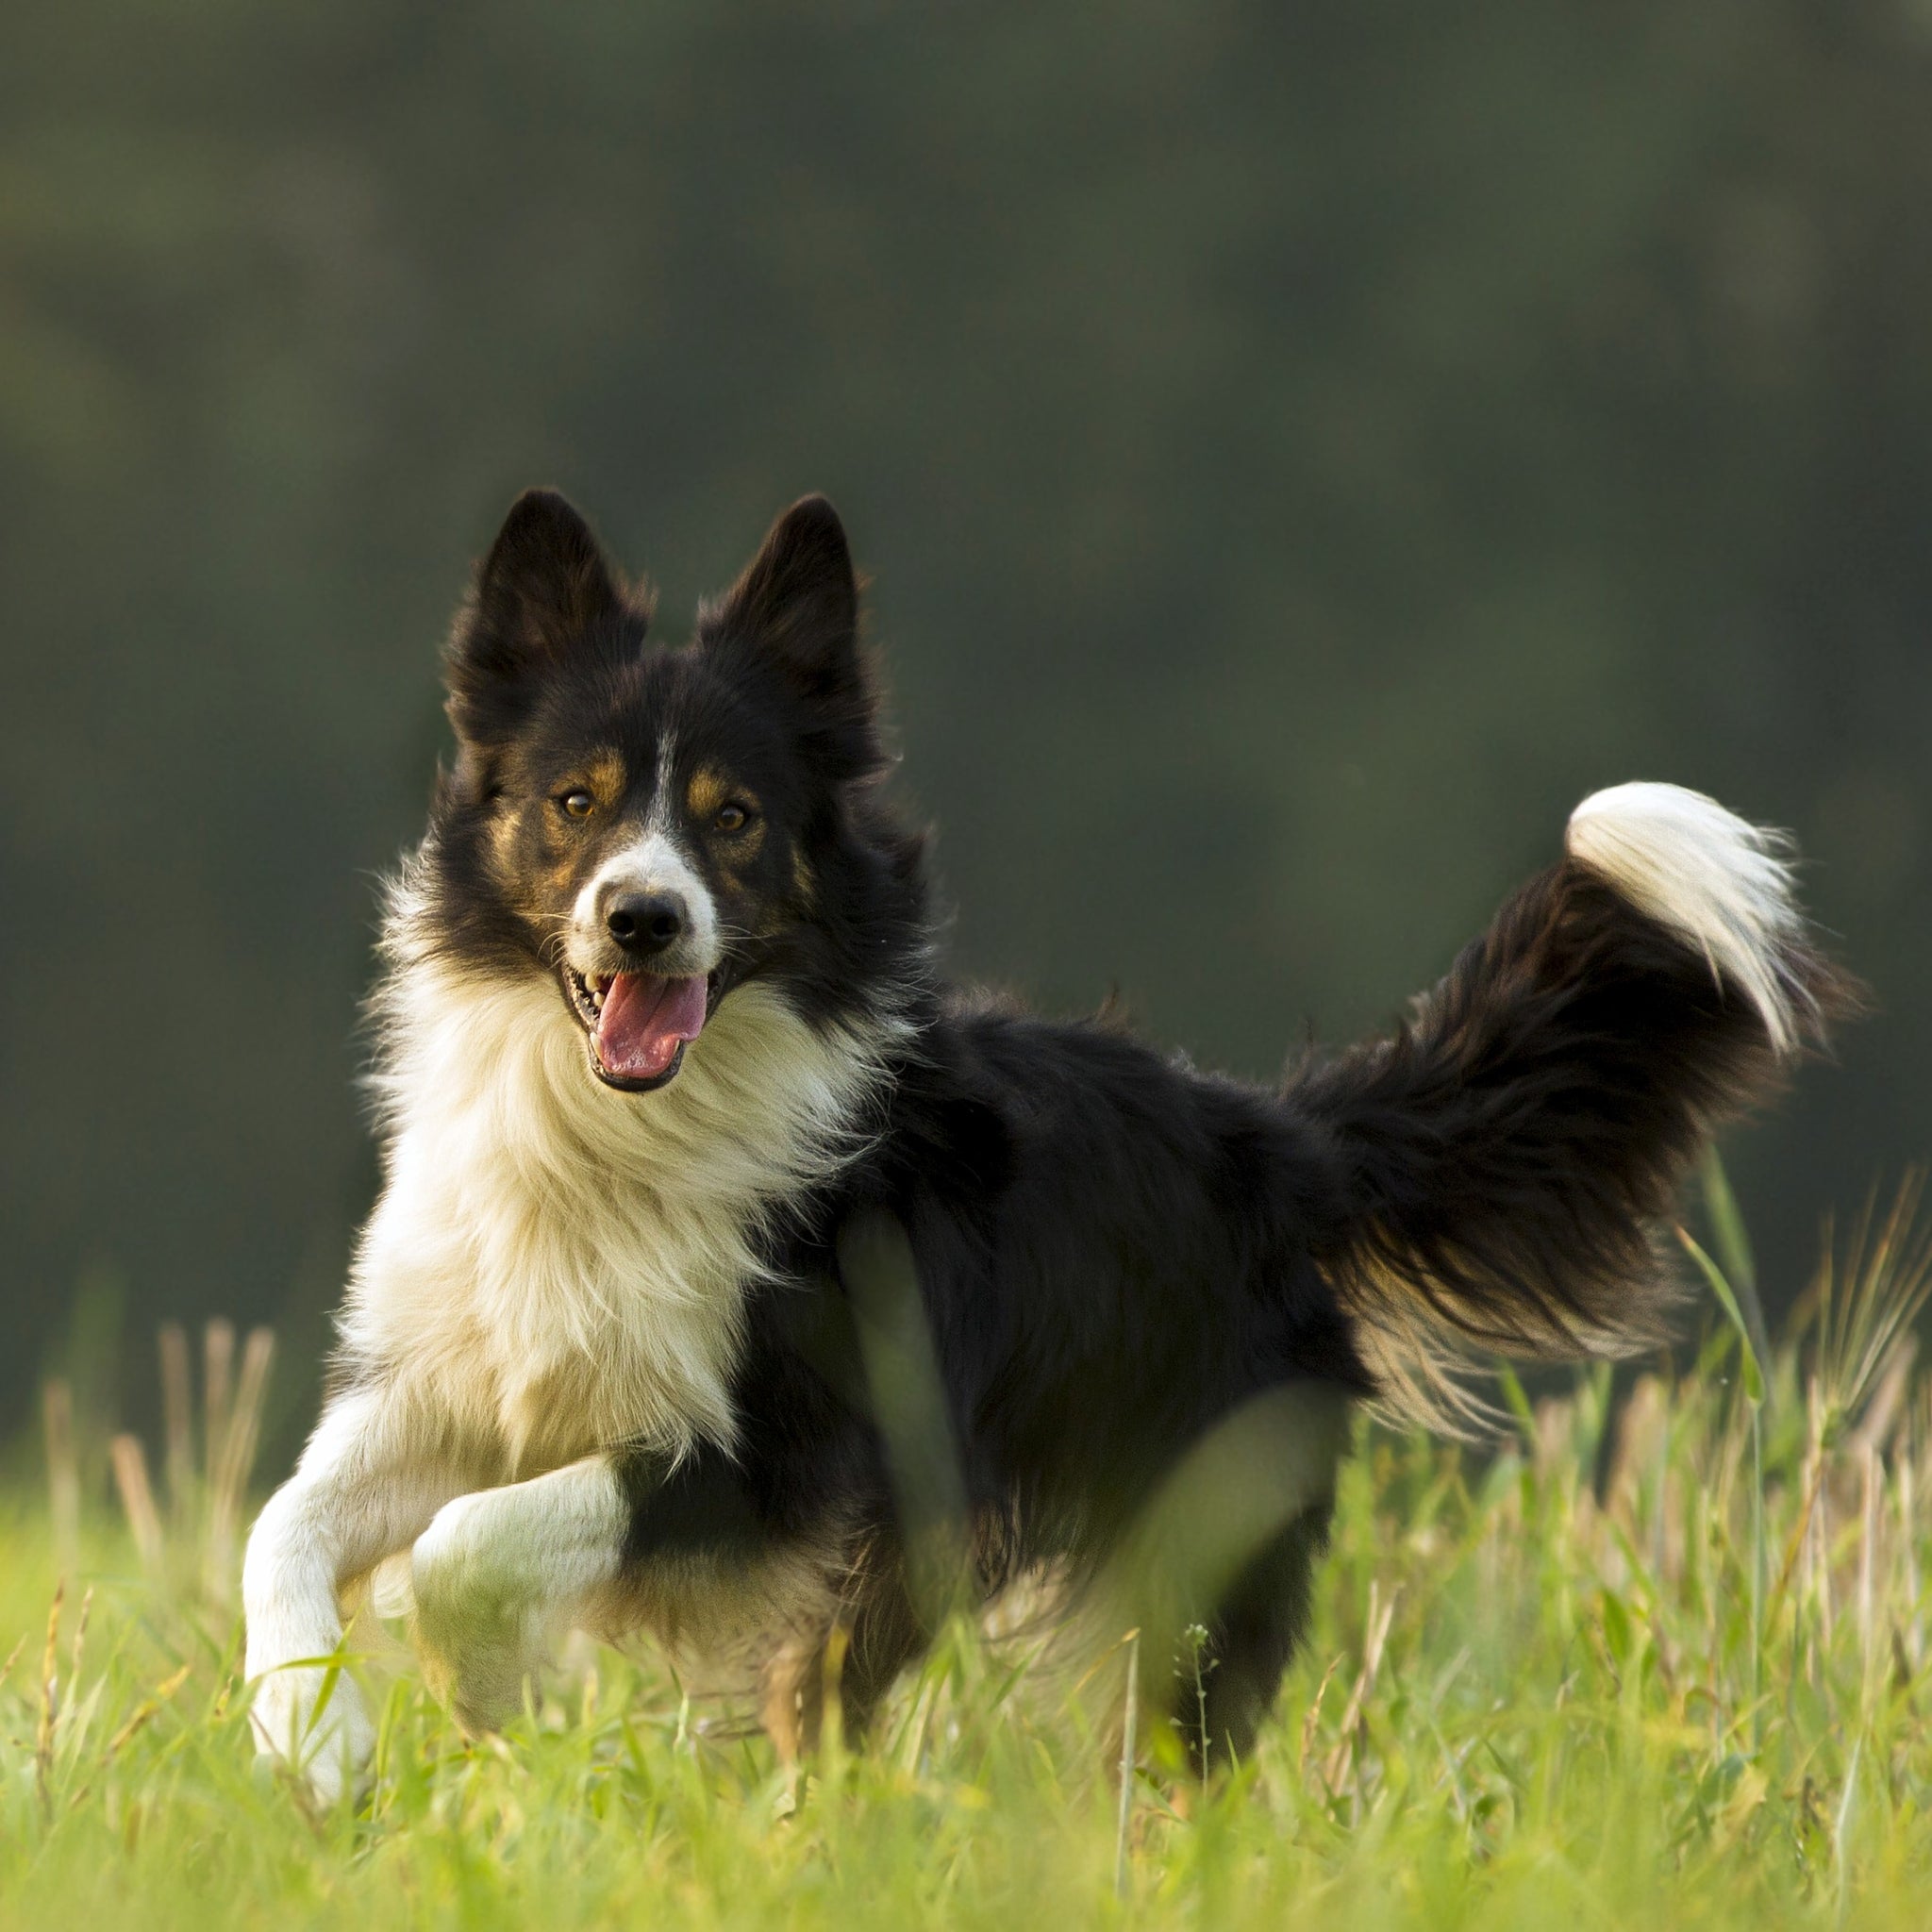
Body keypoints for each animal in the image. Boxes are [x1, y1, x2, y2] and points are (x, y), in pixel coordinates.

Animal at [245, 483, 1855, 1792]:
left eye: (736, 818)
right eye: (575, 802)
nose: (644, 917)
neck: (618, 1134)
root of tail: (1270, 1135)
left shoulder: (784, 1448)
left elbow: (465, 1547)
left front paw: (483, 1691)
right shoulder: (456, 1377)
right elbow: (285, 1523)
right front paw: (311, 1745)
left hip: (1147, 1535)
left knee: (1156, 1746)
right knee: (827, 1713)